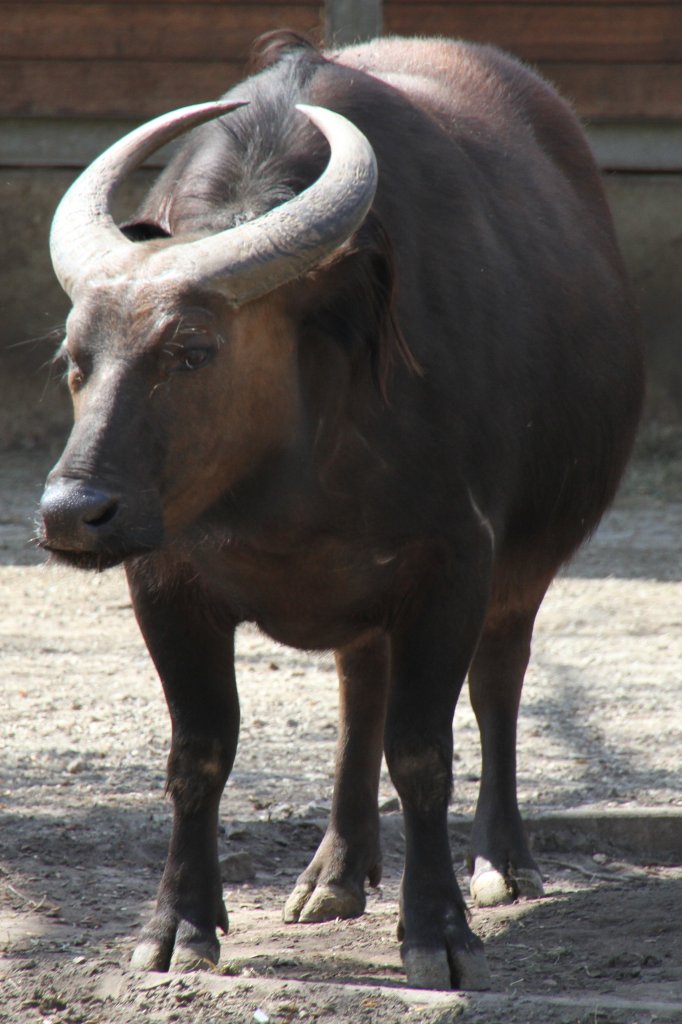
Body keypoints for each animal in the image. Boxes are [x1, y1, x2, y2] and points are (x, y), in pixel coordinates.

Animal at [38, 34, 643, 991]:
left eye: (194, 348)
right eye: (74, 356)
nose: (71, 511)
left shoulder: (455, 566)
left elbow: (425, 752)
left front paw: (438, 929)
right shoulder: (163, 579)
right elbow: (198, 753)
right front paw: (179, 923)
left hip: (524, 568)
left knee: (498, 682)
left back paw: (502, 860)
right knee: (362, 689)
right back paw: (336, 870)